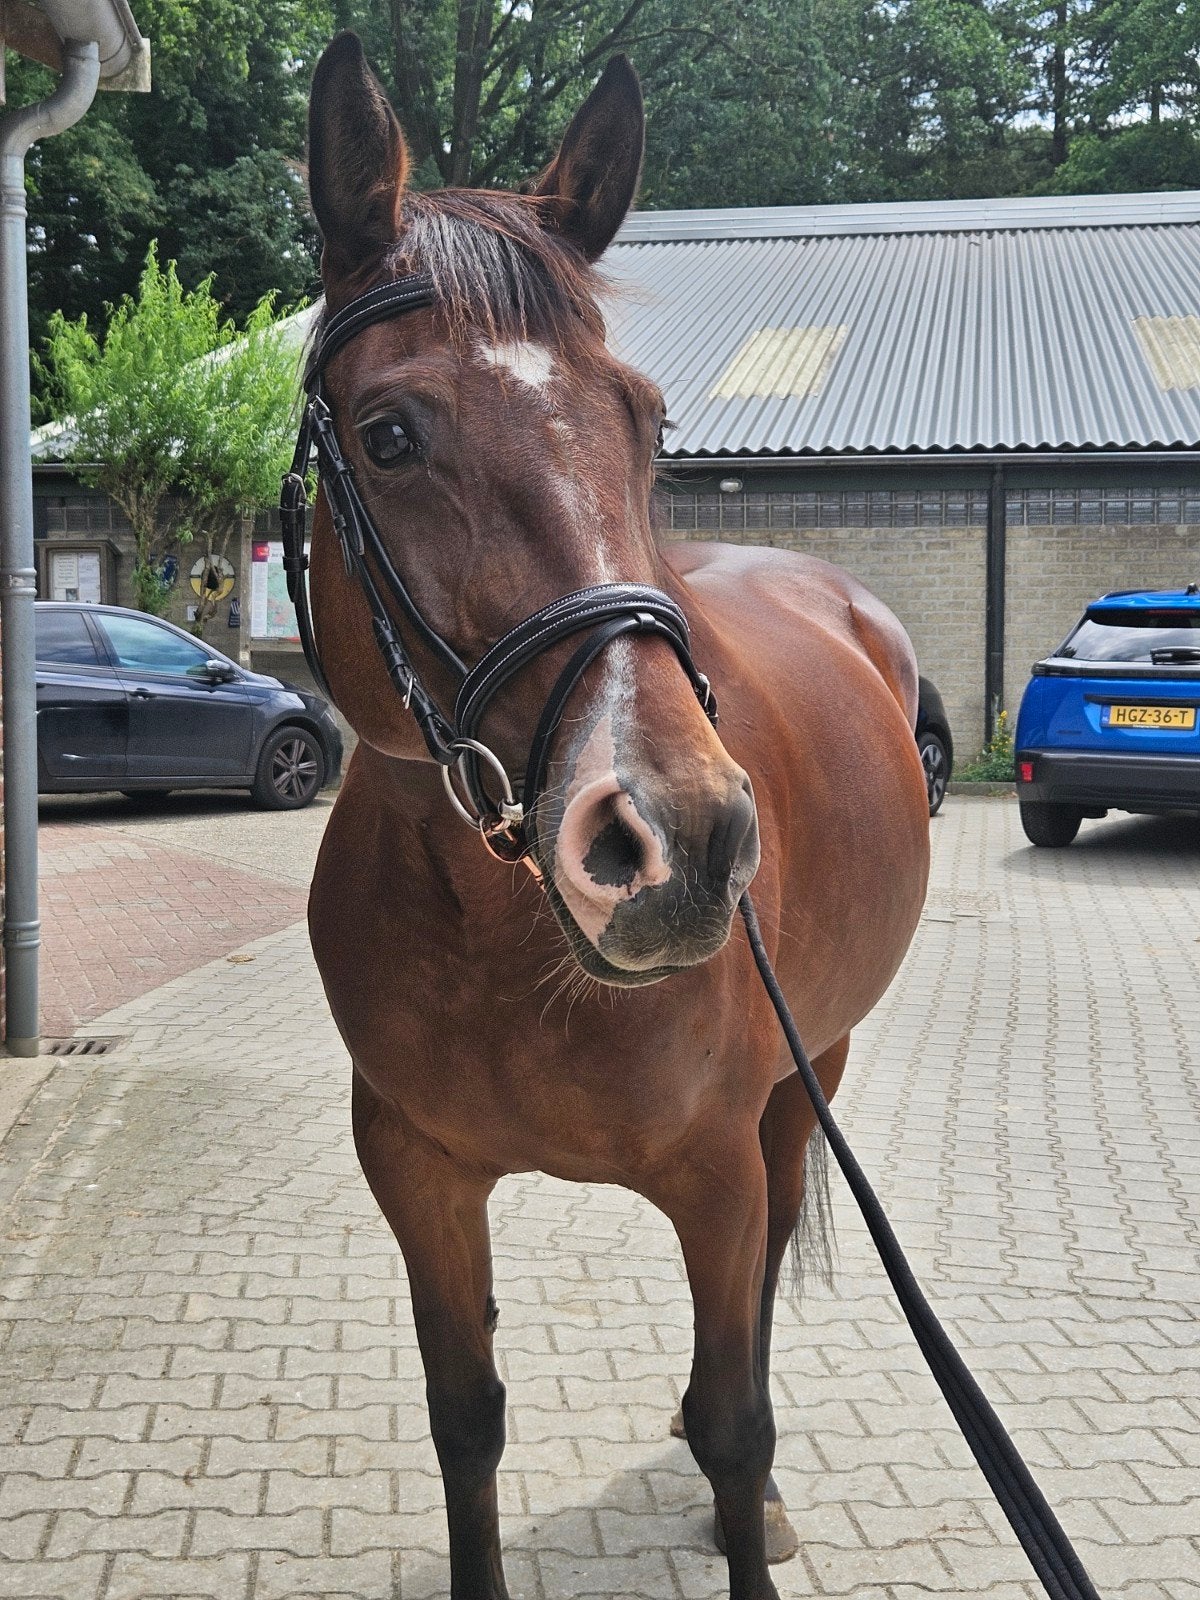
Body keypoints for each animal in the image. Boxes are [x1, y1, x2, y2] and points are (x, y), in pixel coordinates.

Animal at [301, 33, 930, 1600]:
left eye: (646, 422)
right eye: (389, 435)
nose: (681, 841)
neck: (497, 941)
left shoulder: (715, 1173)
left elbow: (733, 1423)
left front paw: (747, 1502)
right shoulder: (417, 1173)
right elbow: (464, 1422)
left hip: (808, 1078)